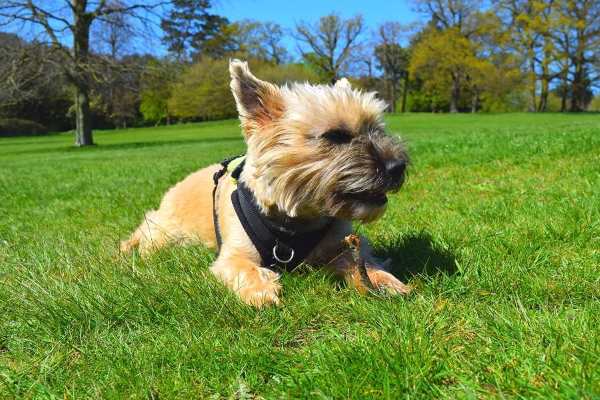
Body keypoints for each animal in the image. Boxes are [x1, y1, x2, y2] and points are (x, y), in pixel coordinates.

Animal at [122, 60, 412, 306]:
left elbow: (357, 259)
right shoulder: (232, 255)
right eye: (335, 136)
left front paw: (382, 279)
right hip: (164, 235)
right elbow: (242, 267)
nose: (398, 166)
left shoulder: (339, 245)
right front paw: (260, 289)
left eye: (377, 129)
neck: (295, 219)